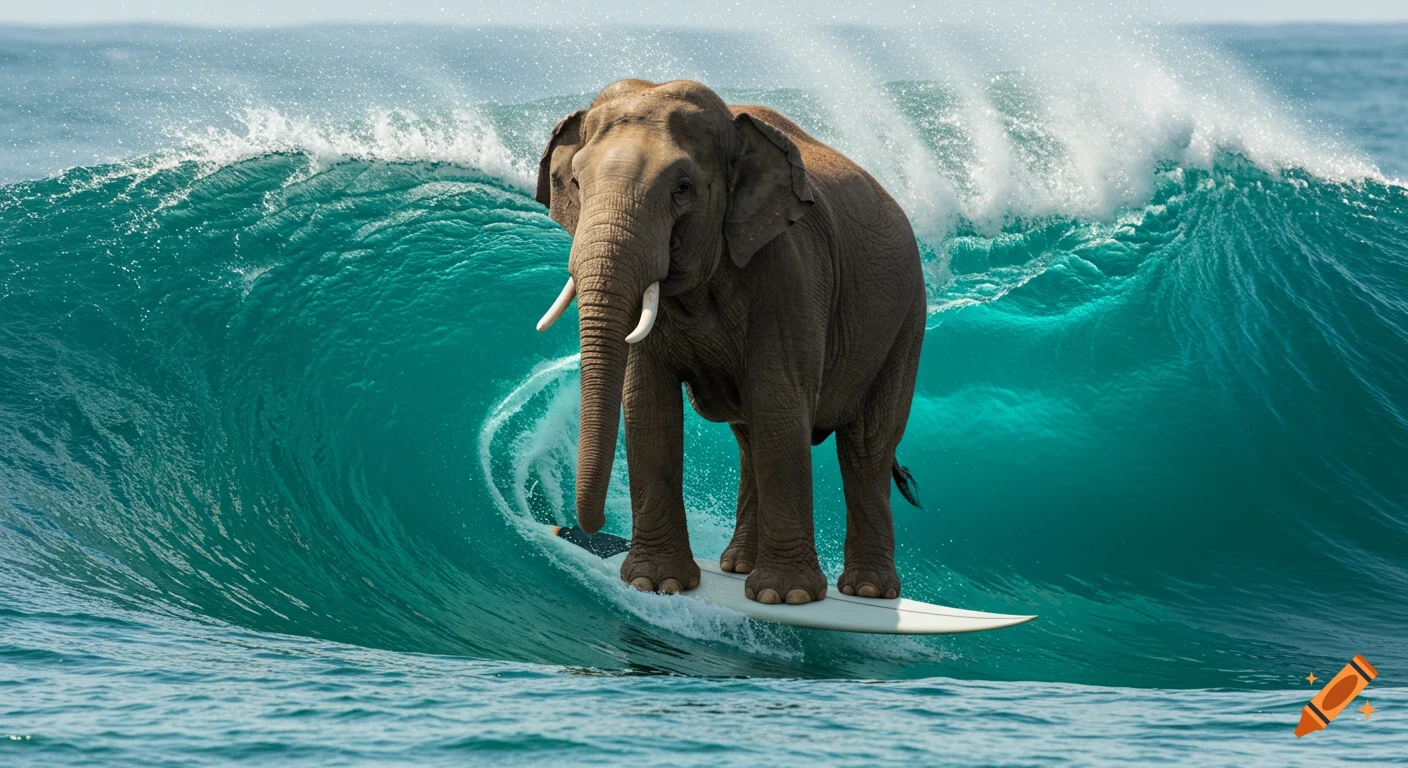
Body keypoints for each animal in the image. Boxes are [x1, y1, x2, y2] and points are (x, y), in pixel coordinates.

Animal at [534, 79, 925, 605]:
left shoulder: (791, 270)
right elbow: (647, 404)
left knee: (865, 445)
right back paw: (736, 568)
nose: (582, 530)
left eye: (683, 190)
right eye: (575, 183)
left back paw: (867, 593)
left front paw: (786, 597)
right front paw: (657, 584)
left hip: (906, 322)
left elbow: (779, 402)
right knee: (751, 436)